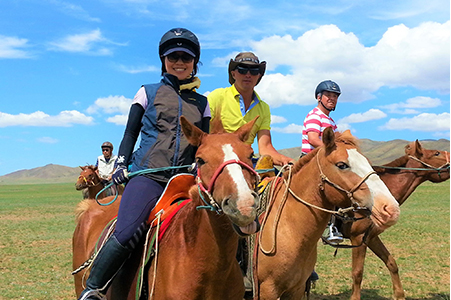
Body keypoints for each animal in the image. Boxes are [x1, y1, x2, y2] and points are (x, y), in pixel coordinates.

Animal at [254, 129, 402, 300]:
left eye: (368, 162)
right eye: (342, 165)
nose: (390, 208)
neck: (286, 229)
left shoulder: (296, 289)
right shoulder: (268, 290)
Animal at [348, 141, 450, 300]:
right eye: (436, 153)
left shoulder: (370, 237)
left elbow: (391, 263)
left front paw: (399, 294)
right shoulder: (357, 237)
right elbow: (357, 273)